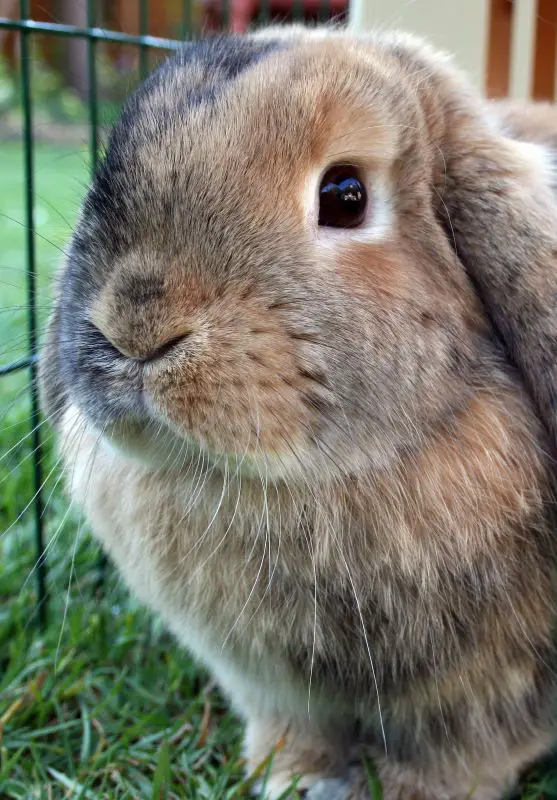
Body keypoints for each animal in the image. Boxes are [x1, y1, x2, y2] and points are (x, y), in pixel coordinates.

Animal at [40, 25, 557, 800]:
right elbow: (295, 732)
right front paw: (289, 777)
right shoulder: (269, 685)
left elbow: (457, 756)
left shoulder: (486, 698)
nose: (135, 327)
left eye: (345, 195)